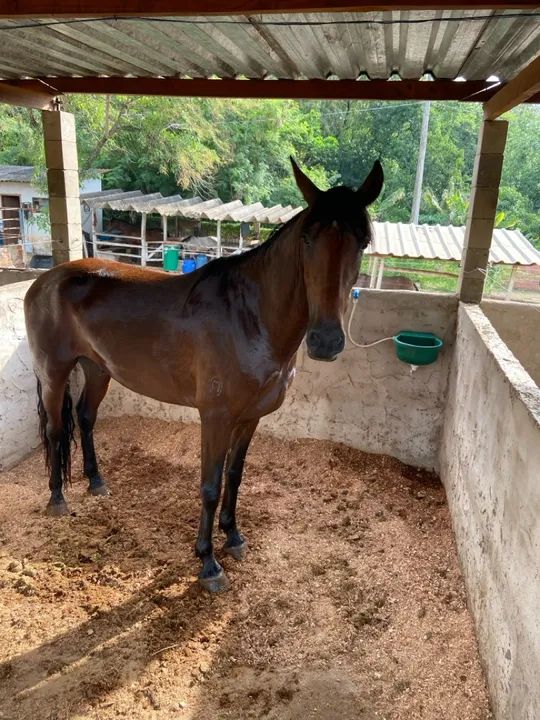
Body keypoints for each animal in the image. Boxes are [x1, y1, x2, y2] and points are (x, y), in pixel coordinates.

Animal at [24, 158, 383, 593]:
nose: (326, 340)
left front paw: (234, 537)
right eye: (308, 240)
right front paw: (208, 562)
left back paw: (96, 482)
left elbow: (234, 476)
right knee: (57, 430)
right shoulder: (215, 417)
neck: (249, 317)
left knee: (86, 417)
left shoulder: (249, 418)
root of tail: (45, 280)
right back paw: (57, 499)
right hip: (54, 370)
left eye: (362, 242)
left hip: (97, 369)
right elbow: (210, 486)